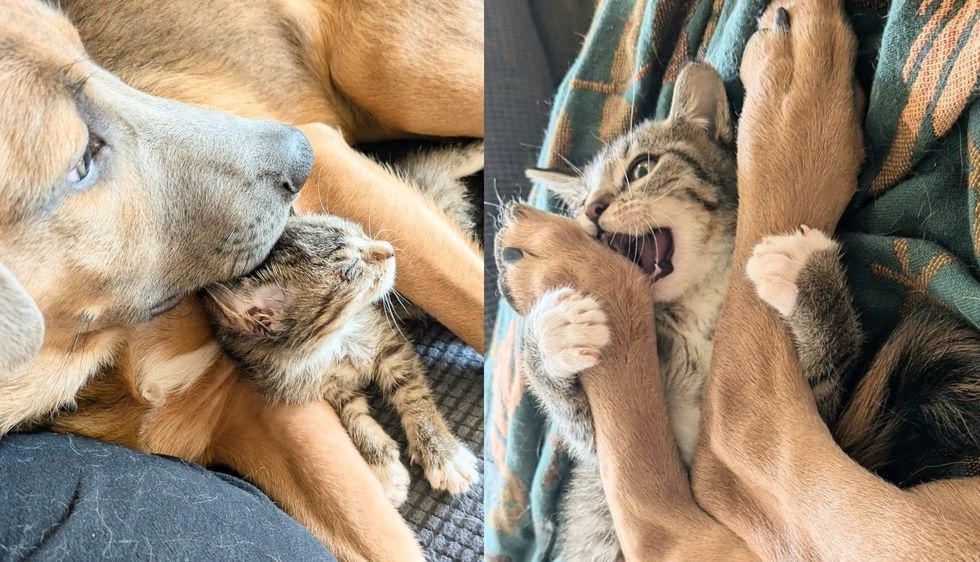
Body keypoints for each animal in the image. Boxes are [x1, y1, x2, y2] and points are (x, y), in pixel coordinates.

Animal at [201, 142, 484, 506]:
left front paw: (443, 455)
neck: (332, 344)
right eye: (350, 270)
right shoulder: (326, 388)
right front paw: (384, 468)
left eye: (357, 232)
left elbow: (413, 394)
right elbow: (354, 417)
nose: (389, 249)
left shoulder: (389, 342)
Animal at [498, 0, 980, 556]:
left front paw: (809, 279)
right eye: (578, 207)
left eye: (641, 168)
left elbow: (825, 365)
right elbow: (580, 424)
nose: (593, 212)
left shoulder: (824, 403)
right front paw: (552, 331)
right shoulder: (600, 457)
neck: (697, 311)